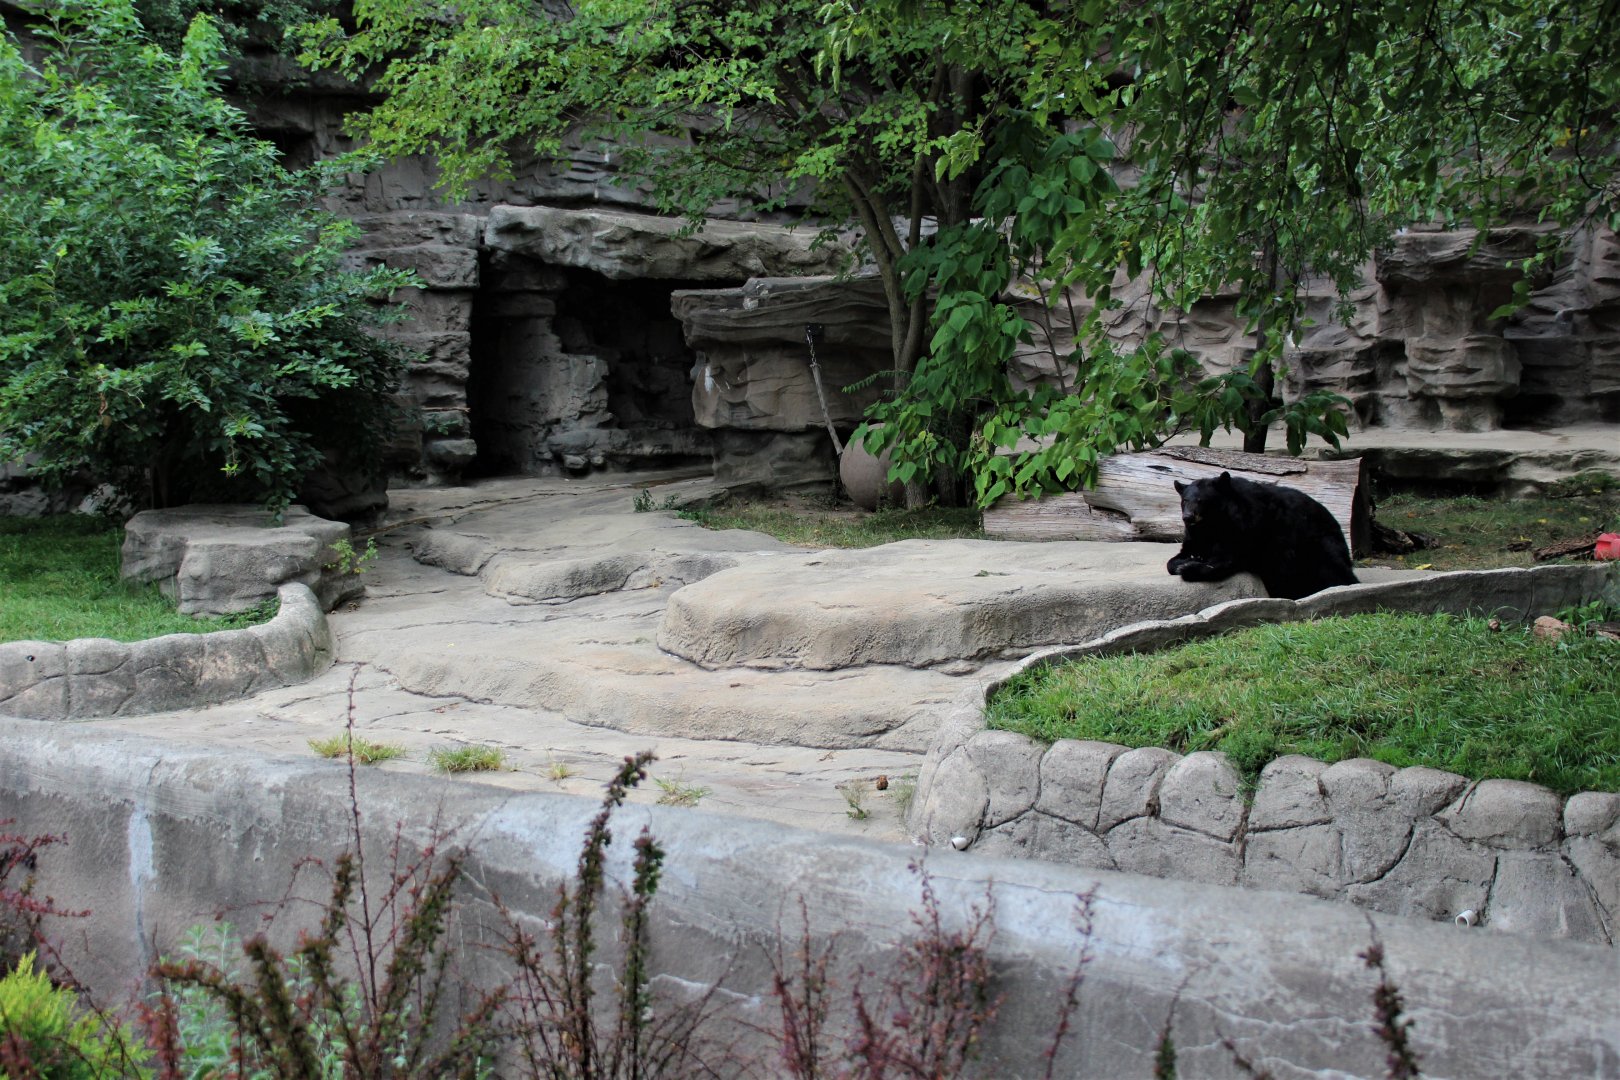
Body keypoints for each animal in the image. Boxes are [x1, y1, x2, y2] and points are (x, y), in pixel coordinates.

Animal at [1166, 471, 1357, 600]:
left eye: (1201, 501)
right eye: (1184, 501)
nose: (1187, 517)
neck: (1211, 523)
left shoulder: (1245, 528)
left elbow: (1228, 558)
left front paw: (1189, 567)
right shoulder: (1196, 535)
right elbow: (1183, 553)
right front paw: (1186, 560)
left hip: (1316, 544)